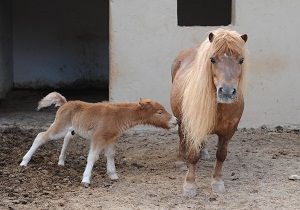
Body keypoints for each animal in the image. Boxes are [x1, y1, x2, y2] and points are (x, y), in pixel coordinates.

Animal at [170, 28, 247, 197]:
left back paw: (204, 152)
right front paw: (190, 185)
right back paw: (179, 161)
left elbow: (221, 155)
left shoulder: (228, 132)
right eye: (212, 60)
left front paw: (217, 182)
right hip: (182, 121)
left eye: (241, 60)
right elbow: (193, 155)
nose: (226, 92)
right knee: (181, 137)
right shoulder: (193, 126)